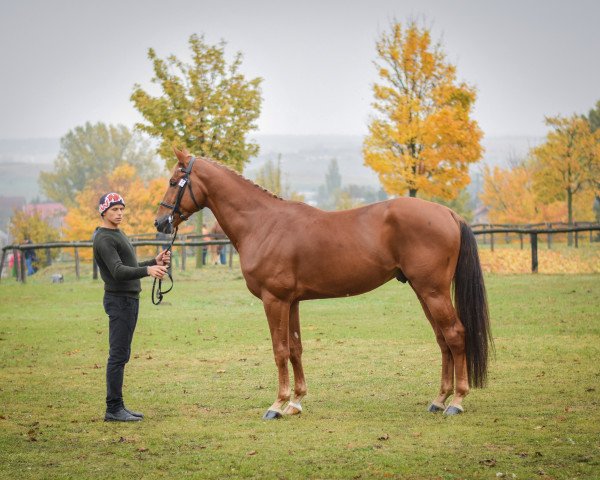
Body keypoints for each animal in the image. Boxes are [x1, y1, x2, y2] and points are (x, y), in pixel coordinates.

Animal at [156, 148, 492, 418]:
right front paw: (296, 402)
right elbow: (295, 348)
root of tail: (448, 213)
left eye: (173, 182)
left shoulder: (274, 300)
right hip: (423, 292)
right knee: (443, 339)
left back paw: (457, 401)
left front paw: (277, 404)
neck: (262, 223)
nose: (160, 223)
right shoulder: (291, 301)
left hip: (433, 291)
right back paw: (439, 399)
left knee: (455, 334)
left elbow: (279, 350)